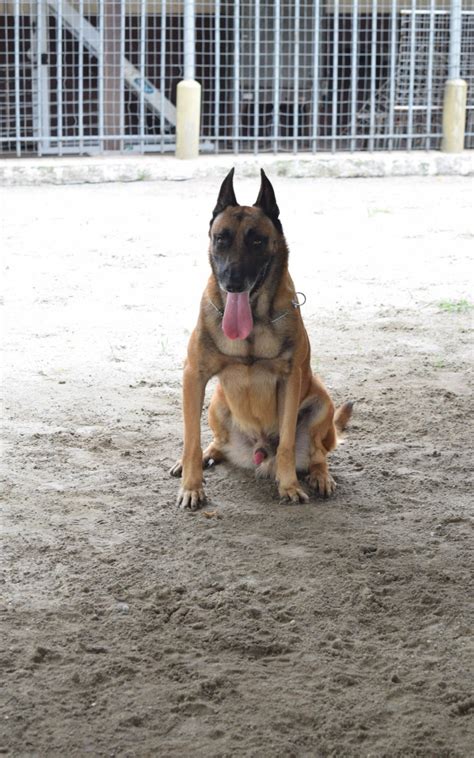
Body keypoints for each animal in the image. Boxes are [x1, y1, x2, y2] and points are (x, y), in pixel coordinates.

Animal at [170, 167, 352, 510]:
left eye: (257, 240)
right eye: (221, 238)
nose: (232, 282)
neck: (253, 322)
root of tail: (257, 450)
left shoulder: (291, 379)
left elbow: (288, 444)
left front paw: (289, 485)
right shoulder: (194, 377)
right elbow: (191, 440)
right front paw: (191, 486)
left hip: (321, 402)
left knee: (318, 453)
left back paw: (320, 476)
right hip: (217, 404)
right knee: (215, 442)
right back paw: (204, 457)